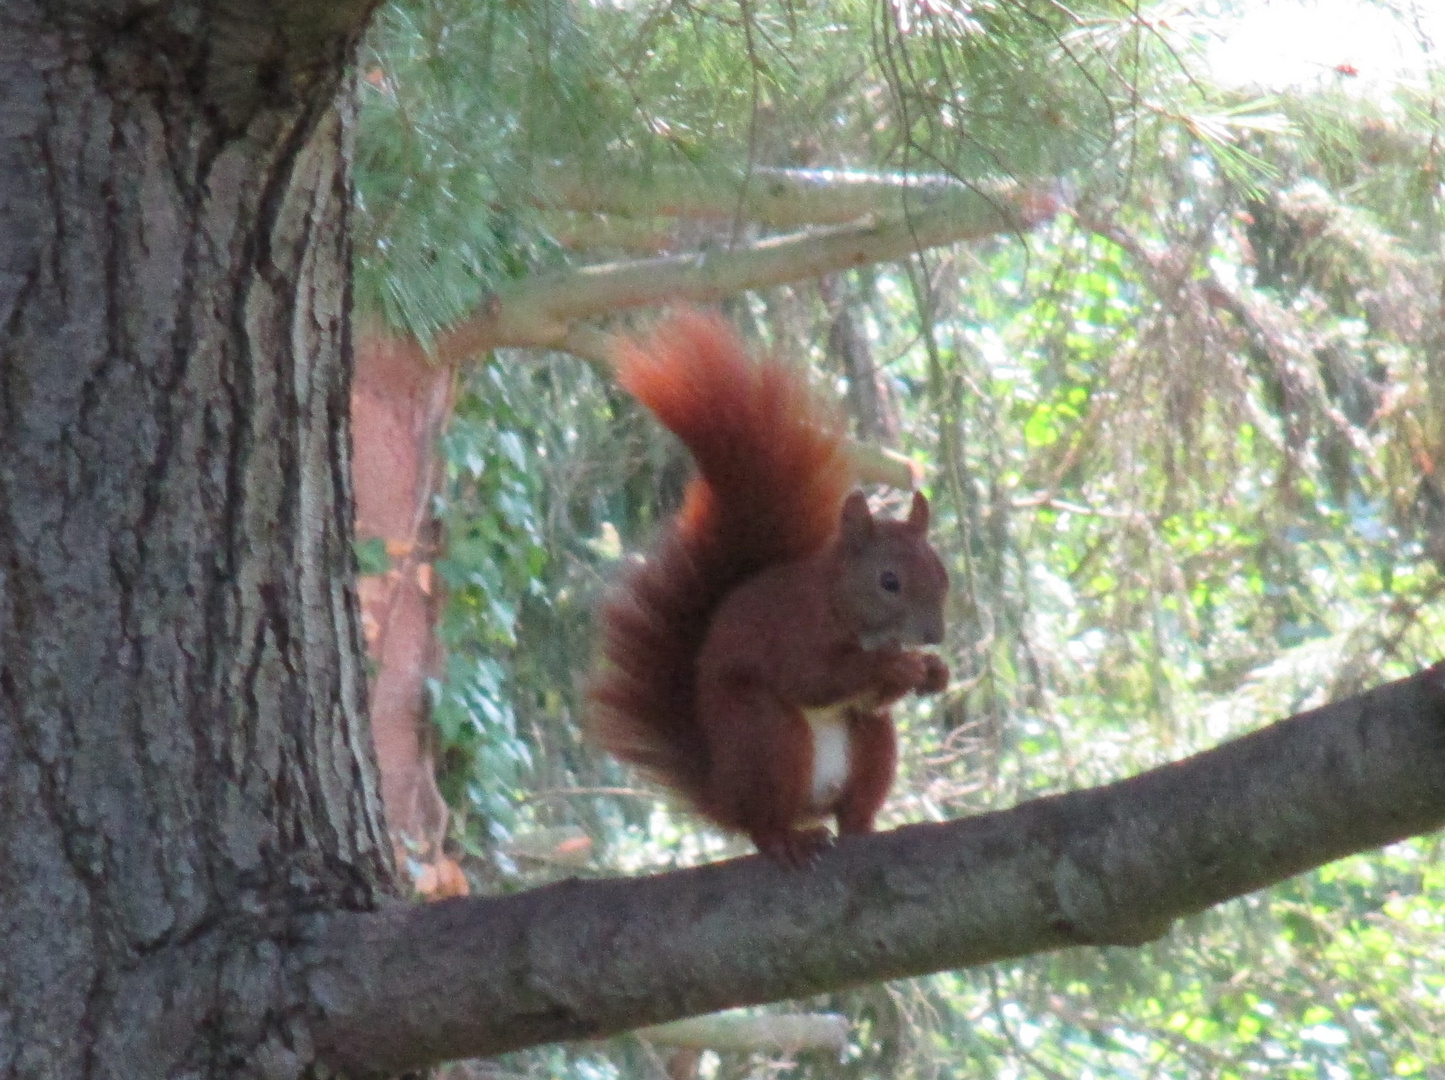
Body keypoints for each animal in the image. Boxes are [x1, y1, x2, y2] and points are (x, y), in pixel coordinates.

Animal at [586, 307, 947, 867]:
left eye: (942, 572)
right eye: (889, 581)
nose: (934, 636)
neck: (836, 602)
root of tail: (724, 795)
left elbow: (871, 700)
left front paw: (933, 672)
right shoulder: (789, 630)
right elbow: (812, 678)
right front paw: (896, 665)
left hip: (872, 747)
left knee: (856, 788)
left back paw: (862, 827)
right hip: (766, 738)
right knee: (763, 823)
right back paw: (786, 839)